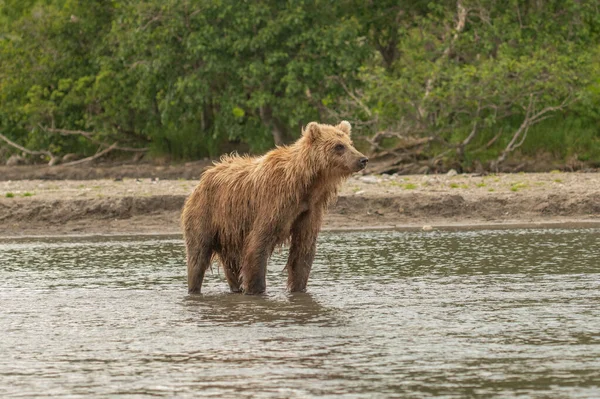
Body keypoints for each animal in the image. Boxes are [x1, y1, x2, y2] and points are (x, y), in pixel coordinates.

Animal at [180, 120, 368, 296]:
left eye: (350, 143)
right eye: (339, 146)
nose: (363, 159)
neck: (305, 185)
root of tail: (206, 174)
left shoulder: (309, 210)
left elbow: (303, 250)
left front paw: (299, 288)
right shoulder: (274, 203)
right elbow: (258, 244)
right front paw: (257, 290)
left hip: (230, 231)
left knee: (231, 265)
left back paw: (235, 288)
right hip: (206, 212)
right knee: (198, 256)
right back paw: (194, 288)